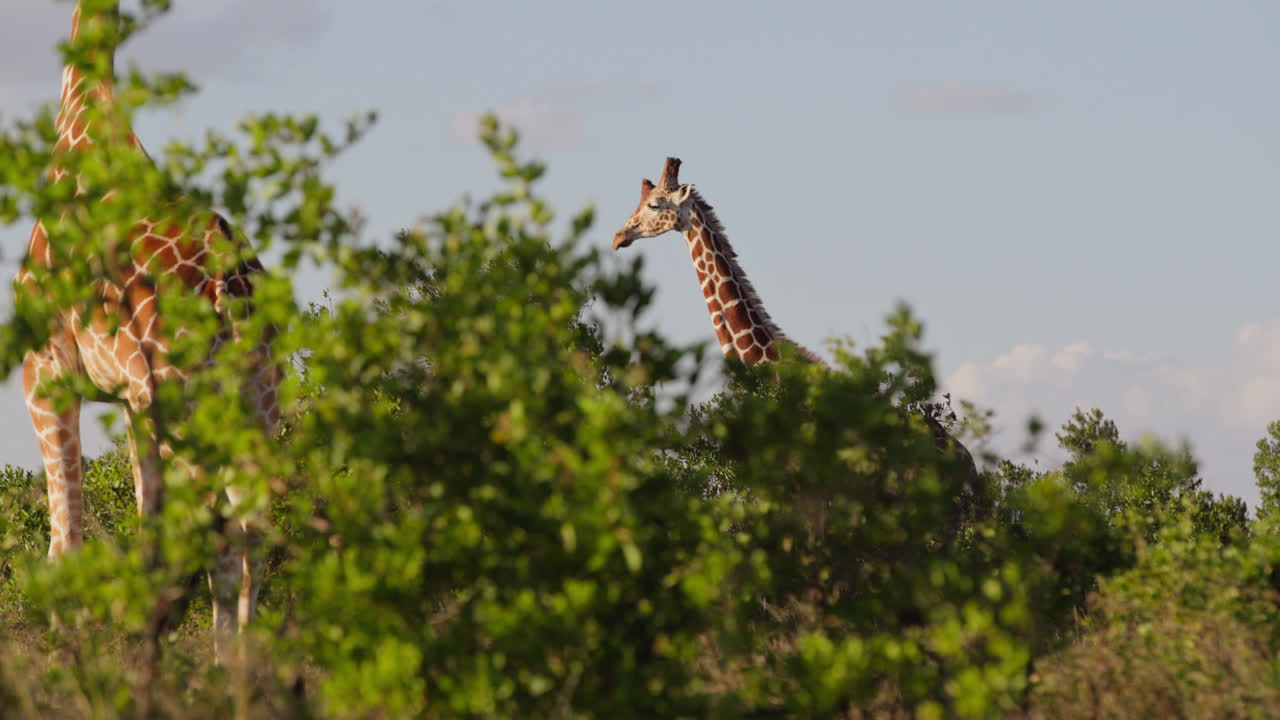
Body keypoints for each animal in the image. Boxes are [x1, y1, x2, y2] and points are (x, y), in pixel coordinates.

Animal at [15, 0, 281, 662]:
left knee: (203, 534)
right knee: (250, 531)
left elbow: (65, 543)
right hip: (256, 404)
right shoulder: (131, 402)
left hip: (183, 401)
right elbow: (137, 519)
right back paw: (236, 666)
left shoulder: (46, 372)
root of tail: (229, 293)